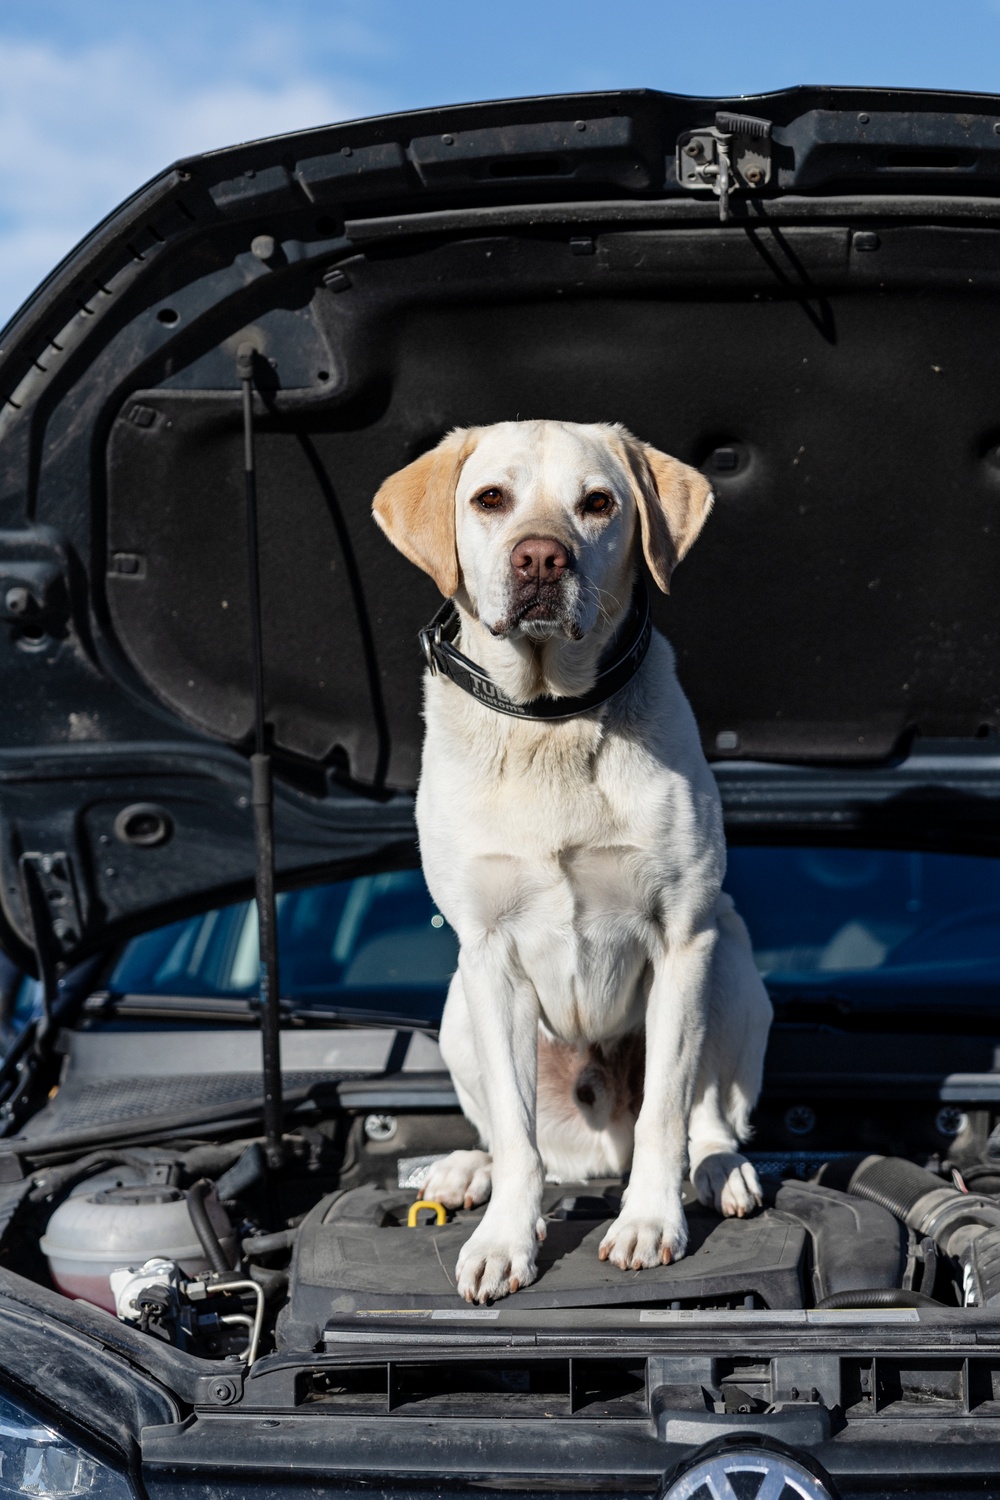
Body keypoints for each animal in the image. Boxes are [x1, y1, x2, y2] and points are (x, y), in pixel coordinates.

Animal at [371, 423, 773, 1302]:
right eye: (490, 498)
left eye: (597, 503)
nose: (540, 559)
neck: (549, 718)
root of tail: (595, 1151)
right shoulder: (488, 955)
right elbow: (519, 1138)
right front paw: (506, 1241)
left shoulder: (681, 937)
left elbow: (665, 1112)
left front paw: (650, 1221)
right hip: (457, 1010)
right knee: (516, 1141)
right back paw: (468, 1171)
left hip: (729, 959)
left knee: (706, 1116)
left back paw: (718, 1171)